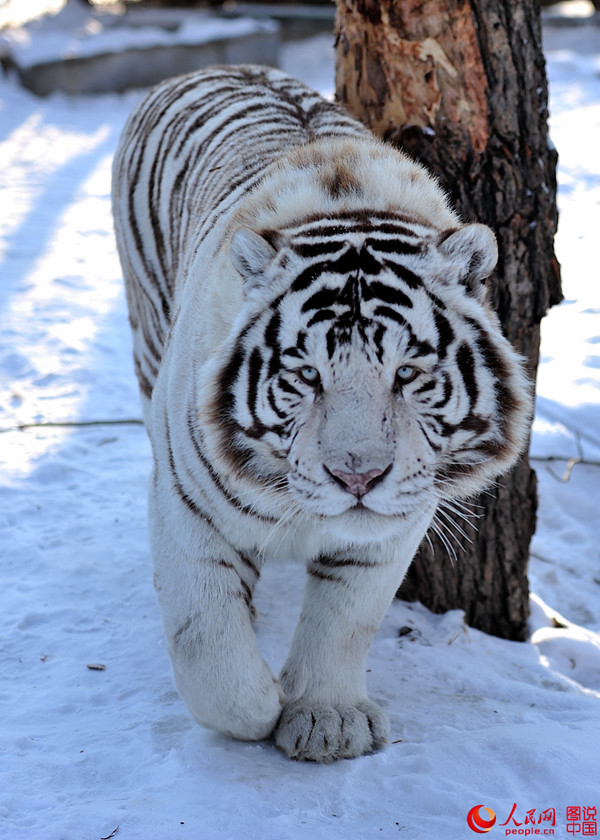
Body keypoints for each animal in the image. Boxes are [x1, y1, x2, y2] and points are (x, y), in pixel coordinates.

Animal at [111, 65, 528, 760]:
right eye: (307, 375)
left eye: (407, 373)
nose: (357, 477)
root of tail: (206, 67)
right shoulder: (186, 504)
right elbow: (209, 649)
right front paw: (261, 709)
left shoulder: (395, 522)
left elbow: (344, 620)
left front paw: (327, 721)